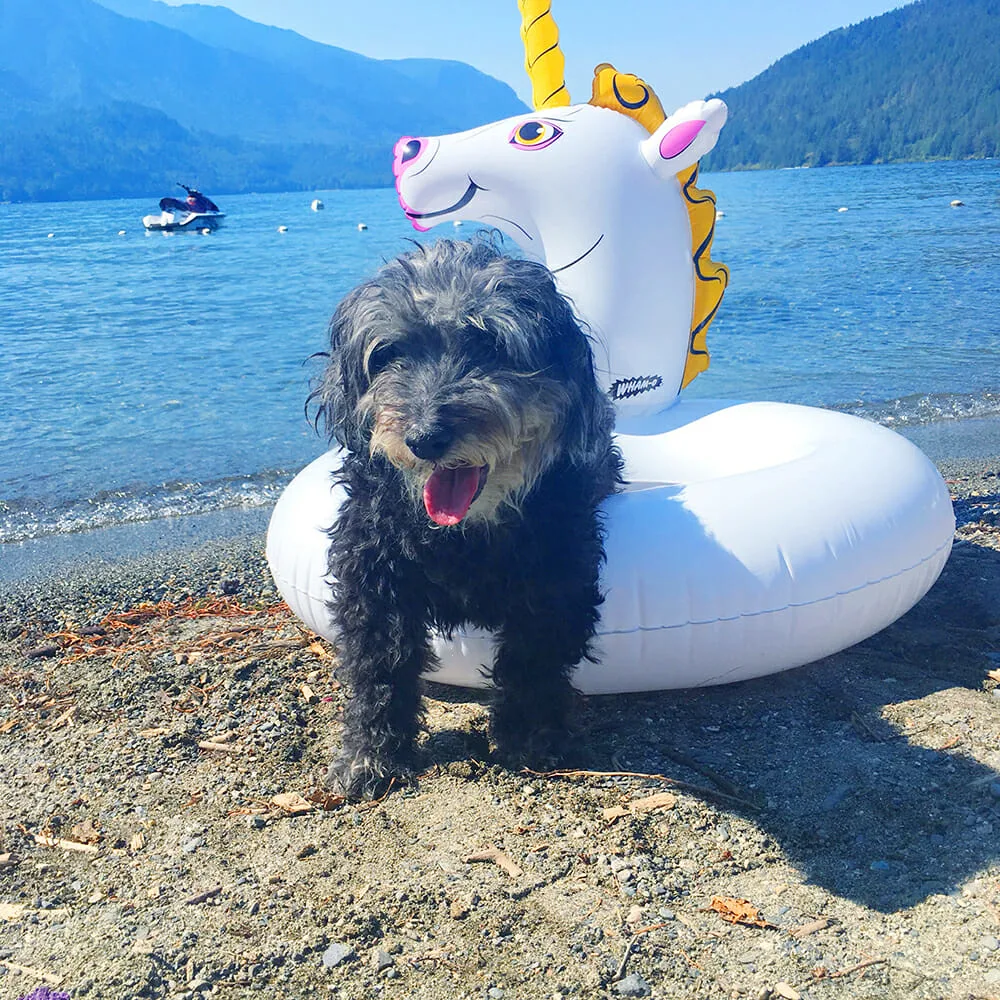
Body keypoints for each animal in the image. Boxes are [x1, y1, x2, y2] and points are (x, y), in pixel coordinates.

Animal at [316, 238, 620, 800]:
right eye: (390, 353)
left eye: (490, 344)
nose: (425, 437)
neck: (461, 536)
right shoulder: (372, 579)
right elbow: (377, 668)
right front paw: (370, 755)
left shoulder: (558, 582)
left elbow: (535, 661)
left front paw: (530, 739)